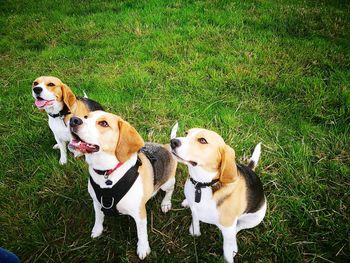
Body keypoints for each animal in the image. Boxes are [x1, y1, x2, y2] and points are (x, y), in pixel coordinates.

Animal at [67, 111, 178, 260]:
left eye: (103, 123)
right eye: (85, 117)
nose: (73, 120)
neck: (107, 173)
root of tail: (166, 147)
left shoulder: (140, 214)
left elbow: (142, 234)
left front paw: (143, 249)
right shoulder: (96, 202)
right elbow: (98, 218)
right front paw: (97, 230)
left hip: (167, 182)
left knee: (170, 190)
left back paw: (166, 203)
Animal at [170, 127, 266, 262]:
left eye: (202, 140)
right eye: (186, 133)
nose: (173, 142)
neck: (203, 185)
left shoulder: (228, 227)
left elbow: (227, 248)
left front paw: (228, 256)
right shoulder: (195, 209)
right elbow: (195, 218)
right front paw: (195, 231)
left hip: (255, 219)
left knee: (237, 229)